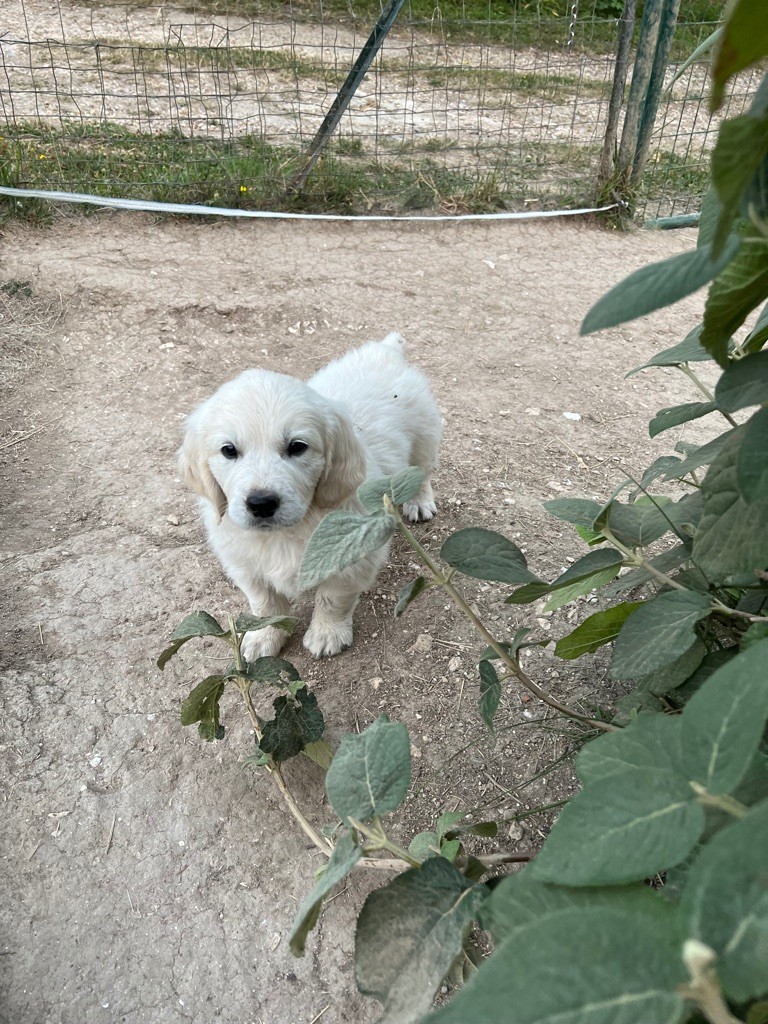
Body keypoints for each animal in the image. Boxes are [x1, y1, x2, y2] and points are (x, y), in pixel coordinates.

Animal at [180, 331, 442, 659]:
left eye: (297, 447)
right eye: (229, 450)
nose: (261, 503)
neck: (285, 533)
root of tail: (384, 350)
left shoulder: (351, 557)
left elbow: (333, 598)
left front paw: (327, 633)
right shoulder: (246, 565)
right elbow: (265, 605)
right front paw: (263, 637)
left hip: (424, 436)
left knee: (421, 471)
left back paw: (420, 502)